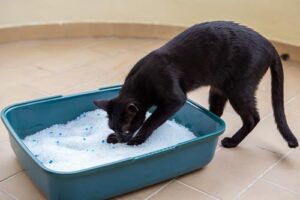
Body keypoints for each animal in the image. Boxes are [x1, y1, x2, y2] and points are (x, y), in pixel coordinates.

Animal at [94, 21, 298, 148]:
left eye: (126, 129)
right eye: (113, 128)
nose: (121, 138)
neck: (141, 80)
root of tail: (269, 44)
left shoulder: (175, 99)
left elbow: (151, 122)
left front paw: (137, 141)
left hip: (239, 89)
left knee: (252, 118)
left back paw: (232, 142)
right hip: (218, 90)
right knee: (217, 114)